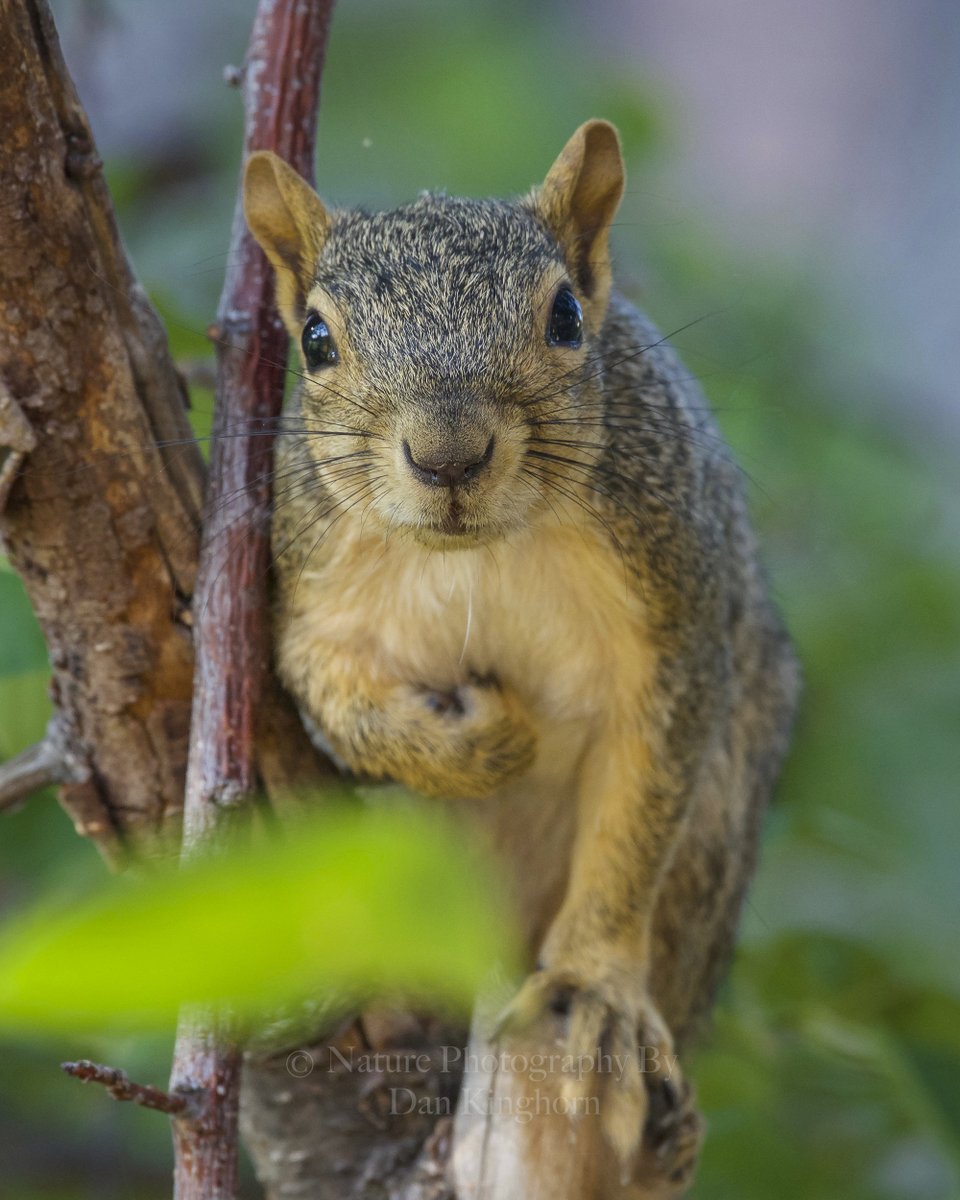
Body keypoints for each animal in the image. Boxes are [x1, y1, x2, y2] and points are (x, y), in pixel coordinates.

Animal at [242, 119, 801, 1190]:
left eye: (567, 316)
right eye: (317, 340)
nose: (448, 456)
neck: (480, 552)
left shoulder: (674, 619)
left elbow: (637, 813)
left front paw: (594, 987)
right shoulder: (310, 598)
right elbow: (335, 701)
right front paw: (487, 740)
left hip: (717, 841)